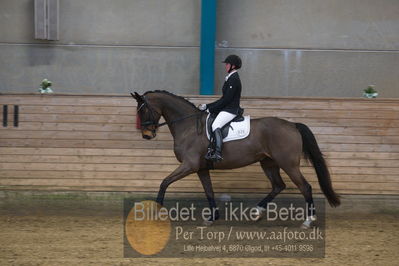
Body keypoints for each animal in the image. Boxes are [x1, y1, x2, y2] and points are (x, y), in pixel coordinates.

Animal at [132, 90, 340, 228]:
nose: (146, 135)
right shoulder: (201, 168)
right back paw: (256, 212)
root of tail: (292, 125)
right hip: (268, 163)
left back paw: (308, 221)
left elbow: (164, 182)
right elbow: (209, 191)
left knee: (305, 187)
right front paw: (212, 217)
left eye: (143, 111)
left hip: (288, 164)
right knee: (278, 186)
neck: (188, 125)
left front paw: (156, 209)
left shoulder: (189, 165)